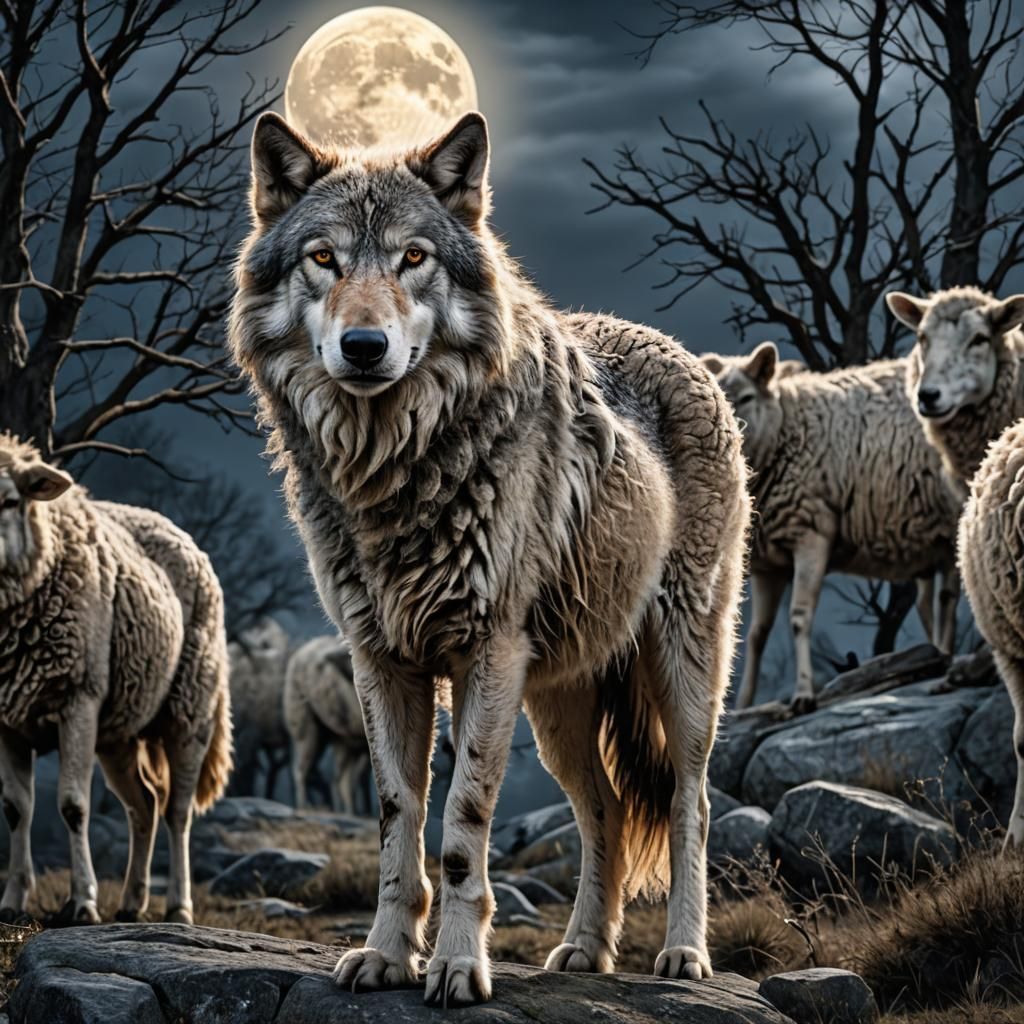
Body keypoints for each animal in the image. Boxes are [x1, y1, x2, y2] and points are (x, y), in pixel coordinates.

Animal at [0, 434, 231, 925]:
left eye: (9, 501)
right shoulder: (5, 719)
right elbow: (16, 809)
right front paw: (13, 901)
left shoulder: (79, 701)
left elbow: (73, 805)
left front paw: (83, 901)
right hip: (118, 733)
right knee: (143, 805)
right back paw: (131, 901)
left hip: (190, 710)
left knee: (178, 811)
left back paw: (178, 906)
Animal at [701, 344, 961, 711]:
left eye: (748, 396)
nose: (729, 429)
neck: (786, 429)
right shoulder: (770, 563)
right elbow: (755, 635)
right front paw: (744, 705)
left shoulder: (811, 534)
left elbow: (799, 617)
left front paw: (803, 694)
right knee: (932, 602)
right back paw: (936, 654)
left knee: (947, 599)